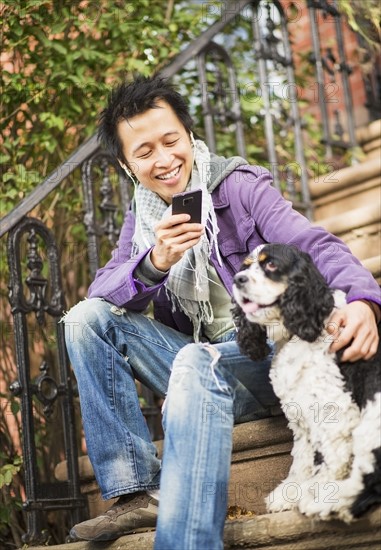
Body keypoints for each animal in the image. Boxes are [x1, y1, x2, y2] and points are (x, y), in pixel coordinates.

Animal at [232, 244, 380, 524]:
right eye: (245, 266)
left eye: (271, 265)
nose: (238, 279)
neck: (296, 334)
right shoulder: (301, 414)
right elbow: (301, 460)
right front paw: (287, 495)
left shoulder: (335, 412)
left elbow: (333, 459)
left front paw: (319, 489)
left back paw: (327, 501)